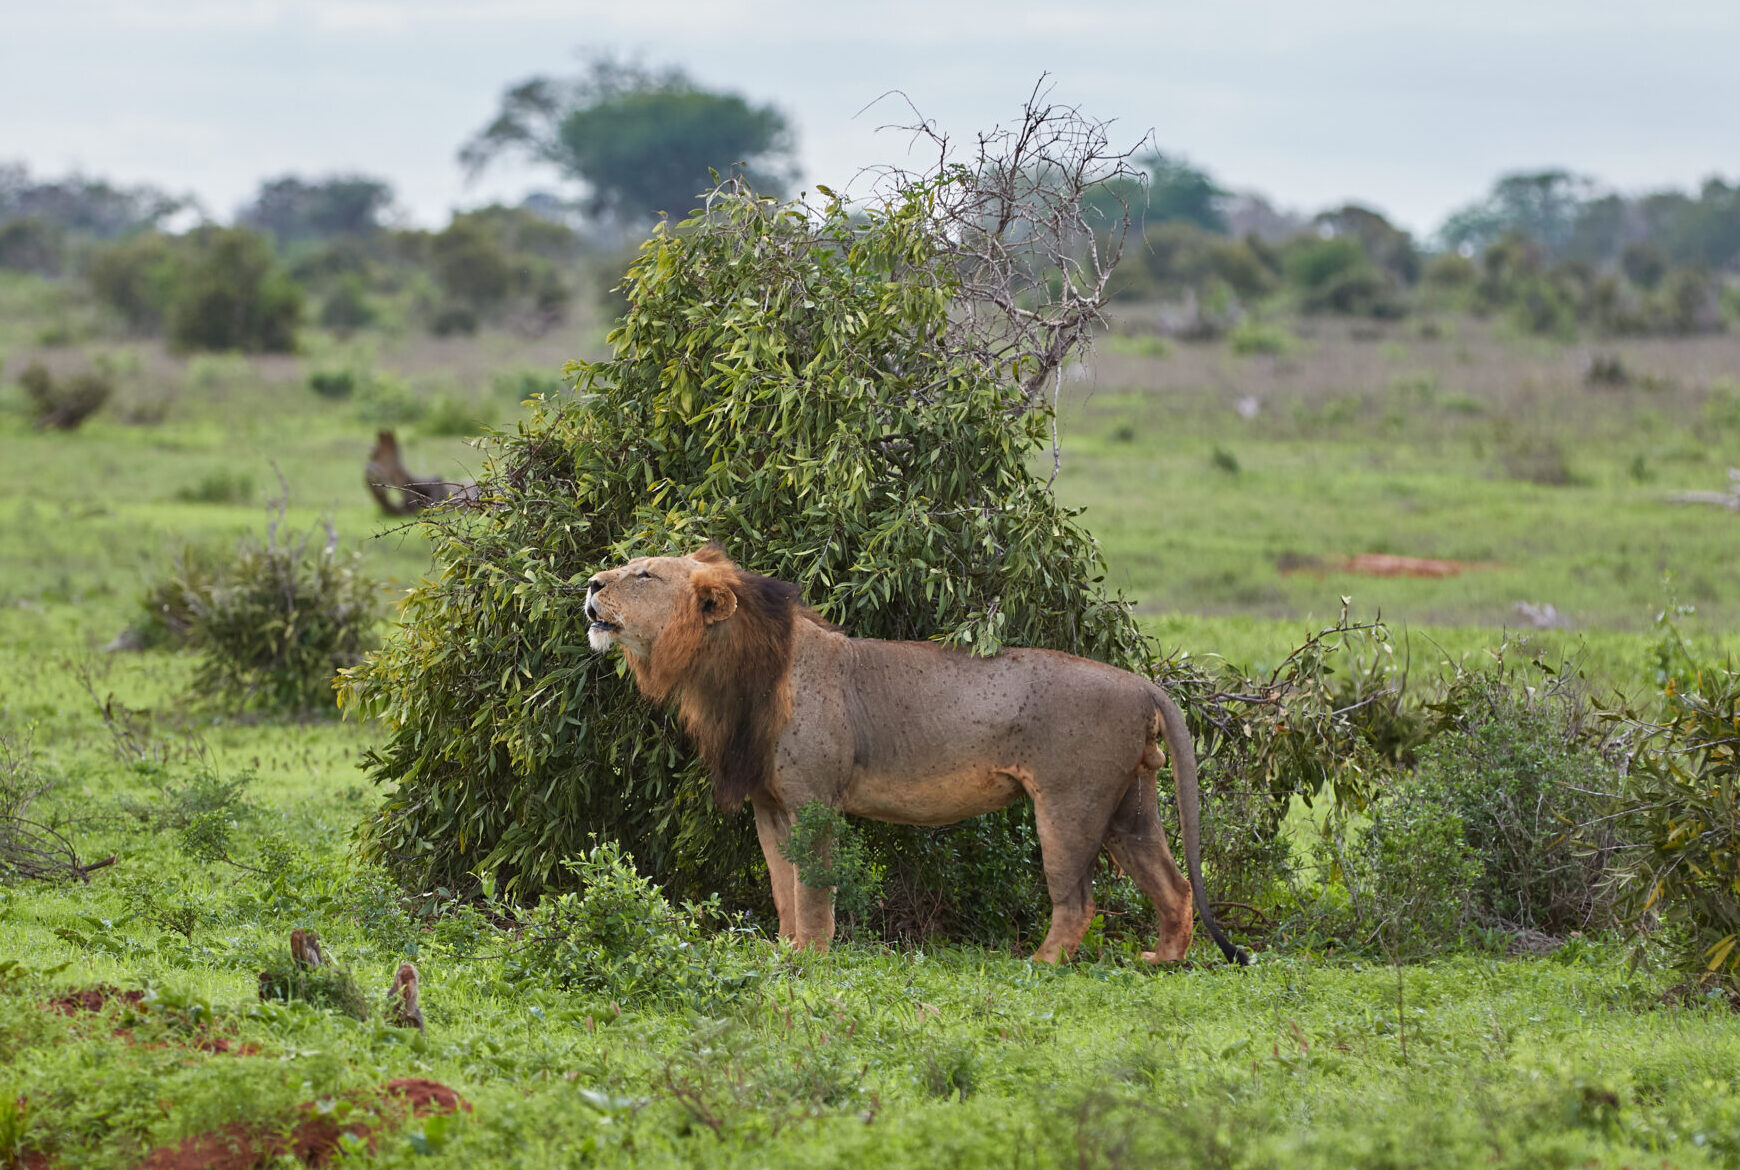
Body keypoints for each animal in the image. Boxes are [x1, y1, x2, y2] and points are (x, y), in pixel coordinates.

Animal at [585, 545, 1249, 966]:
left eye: (644, 575)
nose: (590, 584)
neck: (728, 674)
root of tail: (1142, 684)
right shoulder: (769, 805)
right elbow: (781, 885)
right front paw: (786, 947)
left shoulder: (815, 800)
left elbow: (814, 887)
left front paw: (813, 956)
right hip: (1129, 807)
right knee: (1174, 886)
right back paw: (1163, 959)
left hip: (1070, 803)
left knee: (1078, 901)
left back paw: (1039, 963)